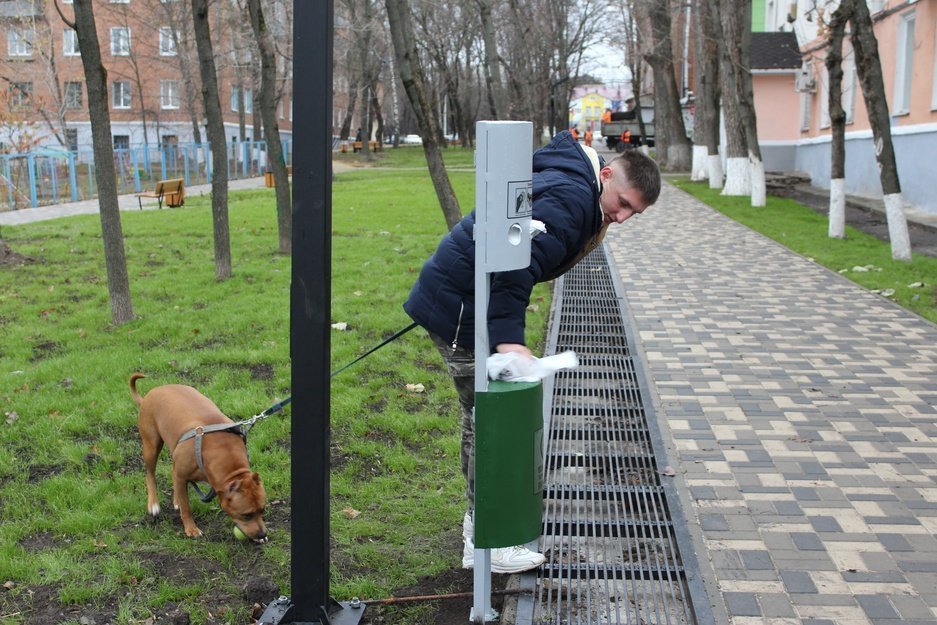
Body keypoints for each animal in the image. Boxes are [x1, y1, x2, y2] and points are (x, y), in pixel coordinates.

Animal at [130, 370, 266, 540]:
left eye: (263, 510)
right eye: (246, 515)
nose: (262, 534)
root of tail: (149, 395)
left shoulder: (182, 475)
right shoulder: (181, 475)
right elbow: (186, 507)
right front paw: (191, 528)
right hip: (151, 446)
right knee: (150, 475)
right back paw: (153, 504)